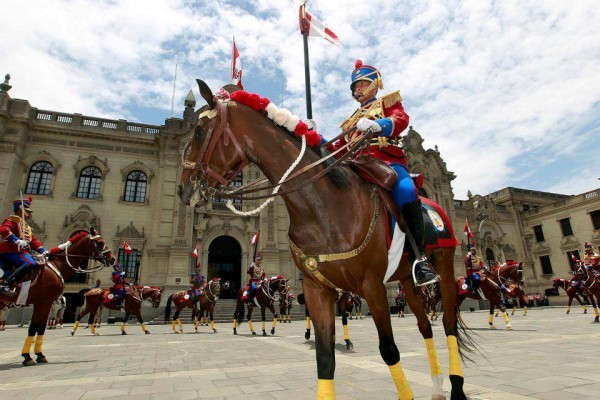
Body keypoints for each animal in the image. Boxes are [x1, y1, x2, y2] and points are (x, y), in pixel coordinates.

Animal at [0, 228, 114, 366]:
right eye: (100, 242)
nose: (112, 258)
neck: (57, 265)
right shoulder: (44, 302)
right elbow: (36, 327)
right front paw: (30, 356)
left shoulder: (43, 303)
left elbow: (38, 327)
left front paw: (35, 355)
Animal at [180, 79, 472, 398]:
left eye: (199, 131)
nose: (183, 189)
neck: (324, 206)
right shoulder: (316, 288)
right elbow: (324, 358)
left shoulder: (372, 286)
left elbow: (390, 350)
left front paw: (370, 124)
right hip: (407, 280)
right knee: (425, 327)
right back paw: (437, 386)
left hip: (444, 269)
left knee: (448, 324)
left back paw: (456, 386)